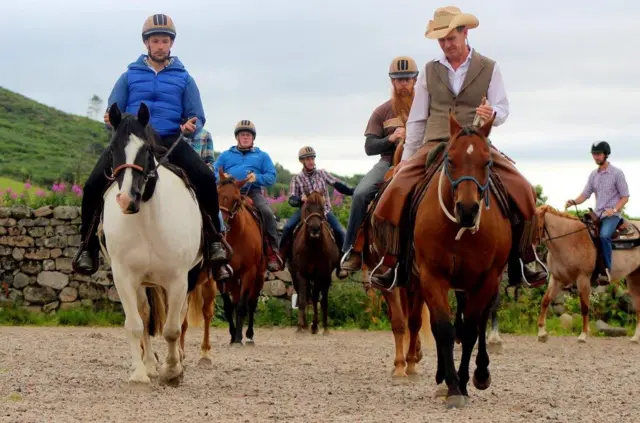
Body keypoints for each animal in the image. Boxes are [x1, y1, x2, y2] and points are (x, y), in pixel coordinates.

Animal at [99, 102, 206, 388]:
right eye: (112, 148)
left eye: (146, 150)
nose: (127, 199)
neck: (146, 219)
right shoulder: (124, 276)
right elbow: (135, 324)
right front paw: (140, 372)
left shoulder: (178, 279)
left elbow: (171, 329)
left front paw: (172, 371)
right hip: (143, 282)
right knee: (146, 315)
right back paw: (149, 364)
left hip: (190, 276)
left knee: (178, 317)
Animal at [215, 167, 264, 346]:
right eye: (216, 193)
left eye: (236, 200)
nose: (221, 224)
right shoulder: (221, 274)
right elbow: (229, 307)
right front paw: (232, 335)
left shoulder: (249, 272)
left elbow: (243, 305)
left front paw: (238, 338)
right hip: (233, 277)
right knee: (236, 301)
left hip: (259, 275)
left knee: (252, 302)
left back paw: (248, 335)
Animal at [288, 190, 342, 332]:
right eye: (307, 208)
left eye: (322, 208)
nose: (315, 229)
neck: (312, 247)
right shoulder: (301, 274)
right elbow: (302, 299)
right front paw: (301, 326)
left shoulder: (321, 274)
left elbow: (318, 299)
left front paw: (317, 326)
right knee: (305, 296)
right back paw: (305, 325)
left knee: (318, 298)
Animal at [412, 112, 512, 410]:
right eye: (450, 160)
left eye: (487, 161)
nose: (467, 210)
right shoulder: (432, 276)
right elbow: (444, 329)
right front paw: (452, 386)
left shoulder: (486, 279)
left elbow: (469, 330)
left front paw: (464, 383)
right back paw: (443, 378)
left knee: (479, 322)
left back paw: (480, 374)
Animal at [536, 205, 640, 344]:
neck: (570, 240)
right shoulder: (557, 279)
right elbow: (545, 301)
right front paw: (542, 333)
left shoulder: (583, 279)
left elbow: (584, 307)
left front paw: (583, 335)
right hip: (633, 277)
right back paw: (636, 337)